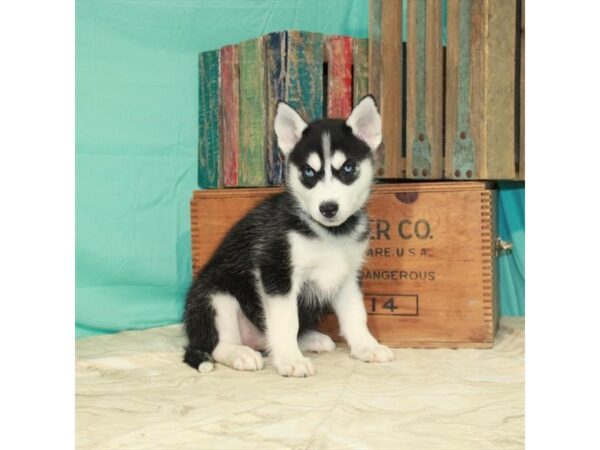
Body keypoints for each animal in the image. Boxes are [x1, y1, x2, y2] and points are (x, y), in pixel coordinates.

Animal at [185, 95, 396, 376]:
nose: (328, 208)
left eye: (348, 167)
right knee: (219, 345)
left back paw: (310, 340)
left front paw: (366, 346)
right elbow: (287, 321)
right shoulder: (277, 271)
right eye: (308, 172)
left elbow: (355, 315)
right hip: (216, 295)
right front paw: (289, 359)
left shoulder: (348, 277)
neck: (328, 234)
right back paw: (241, 354)